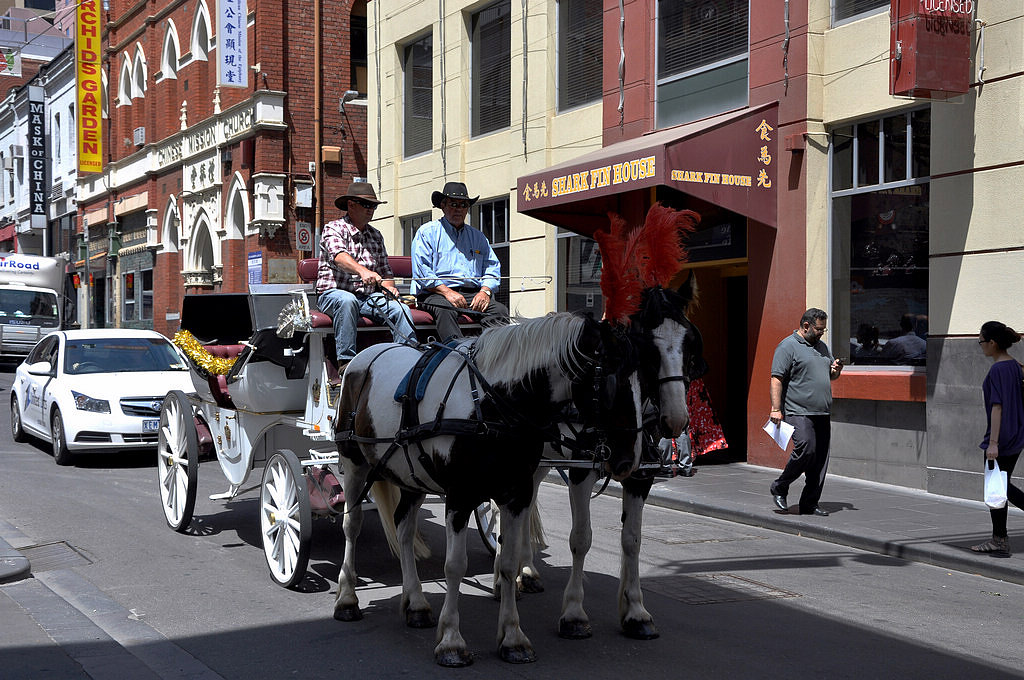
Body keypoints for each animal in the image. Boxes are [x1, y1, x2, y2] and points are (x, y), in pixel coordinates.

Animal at [331, 311, 643, 663]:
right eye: (613, 382)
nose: (629, 460)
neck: (491, 404)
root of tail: (361, 357)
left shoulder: (516, 494)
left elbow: (508, 561)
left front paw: (512, 637)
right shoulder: (460, 495)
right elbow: (455, 566)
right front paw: (452, 640)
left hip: (411, 476)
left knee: (404, 530)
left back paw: (416, 603)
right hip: (355, 464)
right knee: (352, 525)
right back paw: (347, 598)